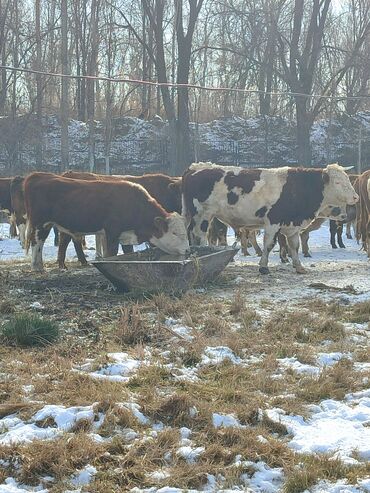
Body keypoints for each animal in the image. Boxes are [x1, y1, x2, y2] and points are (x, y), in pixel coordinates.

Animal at [24, 172, 189, 272]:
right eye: (174, 233)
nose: (188, 250)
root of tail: (40, 175)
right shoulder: (112, 232)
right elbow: (112, 253)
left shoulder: (126, 234)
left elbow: (127, 252)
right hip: (40, 223)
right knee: (36, 242)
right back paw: (37, 267)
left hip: (48, 225)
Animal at [184, 163, 360, 274]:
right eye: (338, 182)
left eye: (347, 179)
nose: (356, 197)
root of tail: (195, 167)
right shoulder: (273, 223)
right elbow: (269, 245)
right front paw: (263, 267)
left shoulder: (292, 226)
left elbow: (294, 246)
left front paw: (299, 267)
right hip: (202, 215)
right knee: (199, 236)